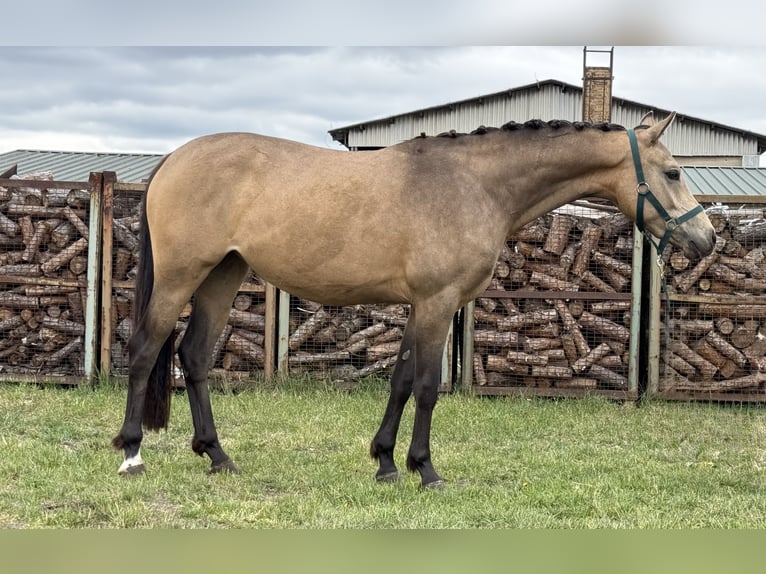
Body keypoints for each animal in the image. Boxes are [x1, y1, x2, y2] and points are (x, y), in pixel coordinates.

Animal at [112, 111, 716, 488]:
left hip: (223, 275)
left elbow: (401, 381)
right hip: (181, 276)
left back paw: (218, 456)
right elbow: (426, 387)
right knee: (144, 351)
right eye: (673, 172)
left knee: (193, 357)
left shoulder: (418, 306)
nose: (705, 240)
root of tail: (173, 158)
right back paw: (131, 454)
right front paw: (424, 469)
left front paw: (384, 462)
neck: (473, 184)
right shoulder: (438, 303)